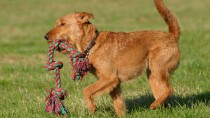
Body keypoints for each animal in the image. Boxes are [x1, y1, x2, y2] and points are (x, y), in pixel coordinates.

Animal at [44, 0, 180, 116]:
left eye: (62, 24)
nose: (45, 36)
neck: (92, 44)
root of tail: (172, 36)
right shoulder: (114, 84)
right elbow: (118, 104)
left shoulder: (109, 77)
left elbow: (87, 90)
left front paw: (92, 107)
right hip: (152, 77)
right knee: (164, 96)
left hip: (158, 68)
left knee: (169, 89)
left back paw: (154, 105)